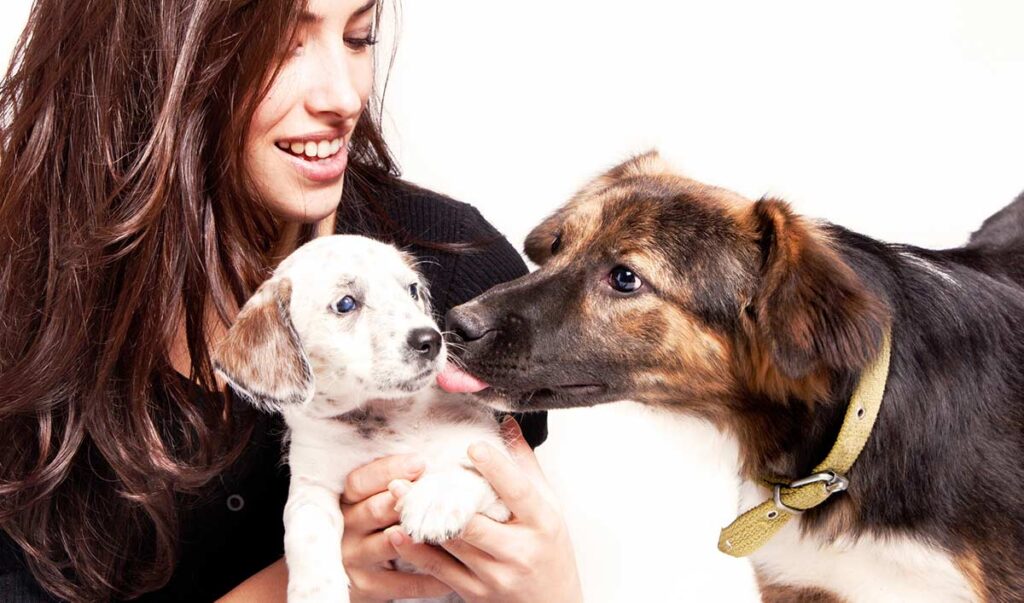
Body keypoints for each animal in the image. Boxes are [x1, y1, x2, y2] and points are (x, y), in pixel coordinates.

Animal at [214, 235, 509, 601]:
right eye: (345, 304)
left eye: (412, 289)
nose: (431, 339)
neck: (384, 416)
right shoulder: (311, 488)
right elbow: (305, 532)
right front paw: (315, 591)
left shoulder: (499, 479)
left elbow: (468, 467)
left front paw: (435, 501)